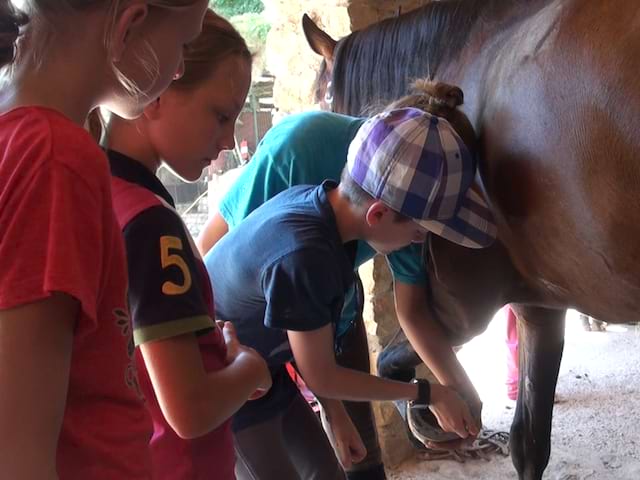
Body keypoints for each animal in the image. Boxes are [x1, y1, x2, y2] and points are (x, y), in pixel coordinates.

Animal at [304, 1, 640, 478]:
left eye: (323, 97)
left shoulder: (460, 311)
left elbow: (389, 362)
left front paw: (429, 414)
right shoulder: (540, 308)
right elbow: (529, 442)